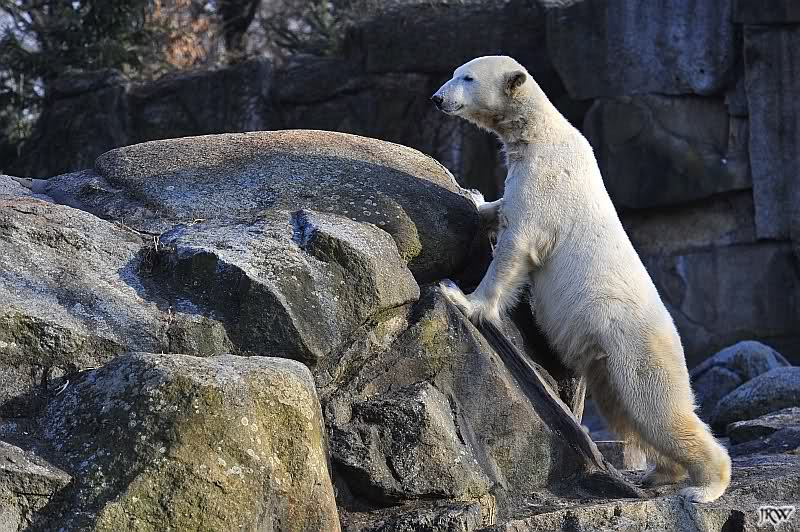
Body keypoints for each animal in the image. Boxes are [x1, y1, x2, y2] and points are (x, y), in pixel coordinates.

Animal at [431, 56, 731, 503]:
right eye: (454, 73)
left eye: (466, 77)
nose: (438, 98)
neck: (541, 134)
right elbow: (501, 207)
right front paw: (474, 196)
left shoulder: (545, 184)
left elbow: (517, 246)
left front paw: (460, 297)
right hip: (608, 363)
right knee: (625, 411)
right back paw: (659, 474)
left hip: (635, 347)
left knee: (656, 409)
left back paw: (704, 486)